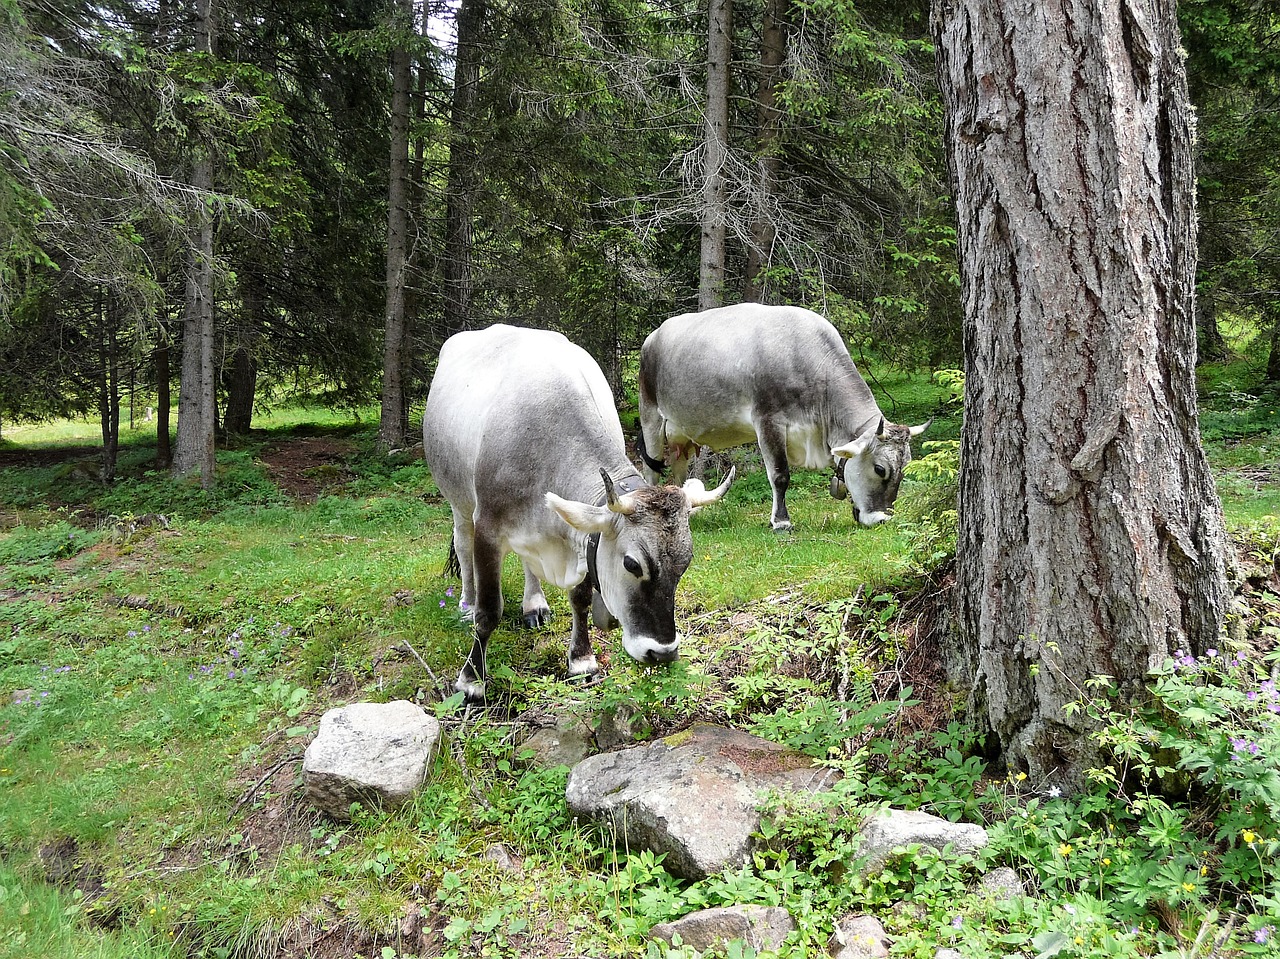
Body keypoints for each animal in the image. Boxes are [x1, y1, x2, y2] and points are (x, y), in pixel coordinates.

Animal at [424, 325, 737, 701]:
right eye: (632, 564)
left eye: (685, 562)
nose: (662, 652)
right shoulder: (488, 528)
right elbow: (489, 611)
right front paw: (471, 680)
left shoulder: (579, 535)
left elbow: (581, 598)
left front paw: (581, 660)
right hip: (458, 500)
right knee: (461, 547)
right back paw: (465, 604)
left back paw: (534, 605)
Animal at [640, 303, 931, 530]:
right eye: (880, 468)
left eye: (906, 467)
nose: (882, 519)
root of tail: (653, 336)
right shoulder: (768, 421)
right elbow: (780, 475)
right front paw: (781, 521)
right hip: (650, 415)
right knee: (651, 469)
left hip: (681, 435)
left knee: (678, 472)